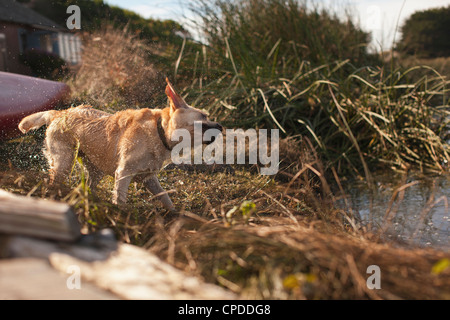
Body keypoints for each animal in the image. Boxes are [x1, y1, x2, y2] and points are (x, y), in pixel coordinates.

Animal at [19, 79, 223, 211]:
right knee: (54, 181)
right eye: (204, 116)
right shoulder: (124, 173)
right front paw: (122, 217)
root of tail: (60, 113)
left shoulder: (149, 178)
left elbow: (165, 197)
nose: (221, 126)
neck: (159, 132)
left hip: (95, 168)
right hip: (64, 161)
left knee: (89, 186)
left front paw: (177, 216)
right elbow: (121, 200)